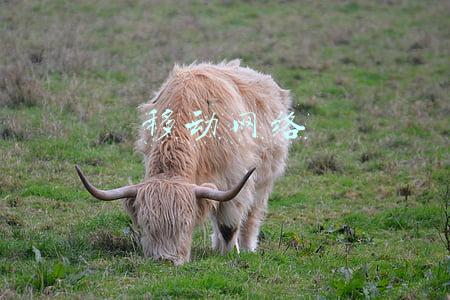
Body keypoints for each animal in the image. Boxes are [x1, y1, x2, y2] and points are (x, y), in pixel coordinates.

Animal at [77, 59, 292, 264]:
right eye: (146, 224)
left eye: (186, 224)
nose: (166, 260)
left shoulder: (235, 177)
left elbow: (229, 225)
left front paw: (231, 254)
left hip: (264, 178)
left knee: (253, 214)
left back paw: (246, 247)